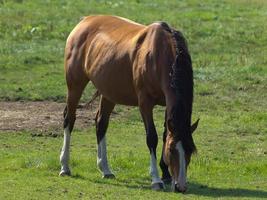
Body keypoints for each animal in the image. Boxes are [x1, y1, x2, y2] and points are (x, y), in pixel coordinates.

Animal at [60, 14, 199, 193]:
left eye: (190, 151)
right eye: (171, 150)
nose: (180, 186)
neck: (159, 55)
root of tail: (84, 21)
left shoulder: (168, 104)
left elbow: (164, 135)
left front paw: (166, 174)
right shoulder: (145, 103)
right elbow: (152, 138)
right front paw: (156, 179)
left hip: (109, 91)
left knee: (101, 123)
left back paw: (105, 169)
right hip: (75, 85)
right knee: (69, 119)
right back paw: (65, 166)